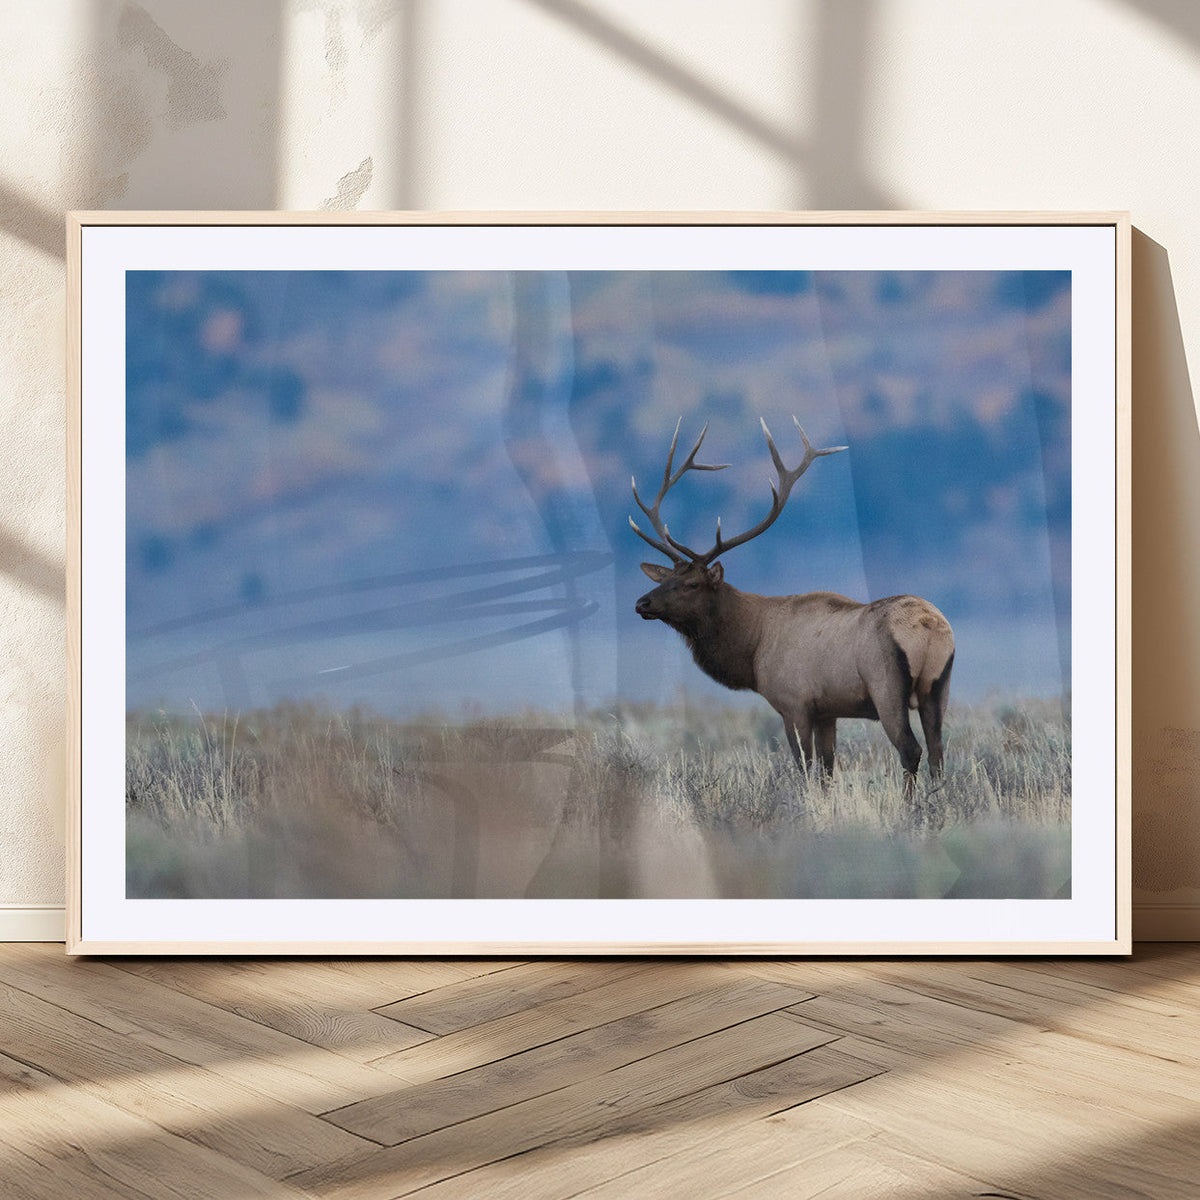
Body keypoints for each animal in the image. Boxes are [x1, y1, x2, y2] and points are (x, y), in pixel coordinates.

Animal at [631, 417, 955, 799]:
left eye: (692, 584)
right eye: (666, 578)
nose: (642, 603)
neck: (753, 647)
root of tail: (929, 626)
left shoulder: (793, 703)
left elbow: (805, 767)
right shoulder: (827, 710)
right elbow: (828, 768)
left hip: (886, 684)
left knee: (910, 749)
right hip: (938, 687)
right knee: (937, 751)